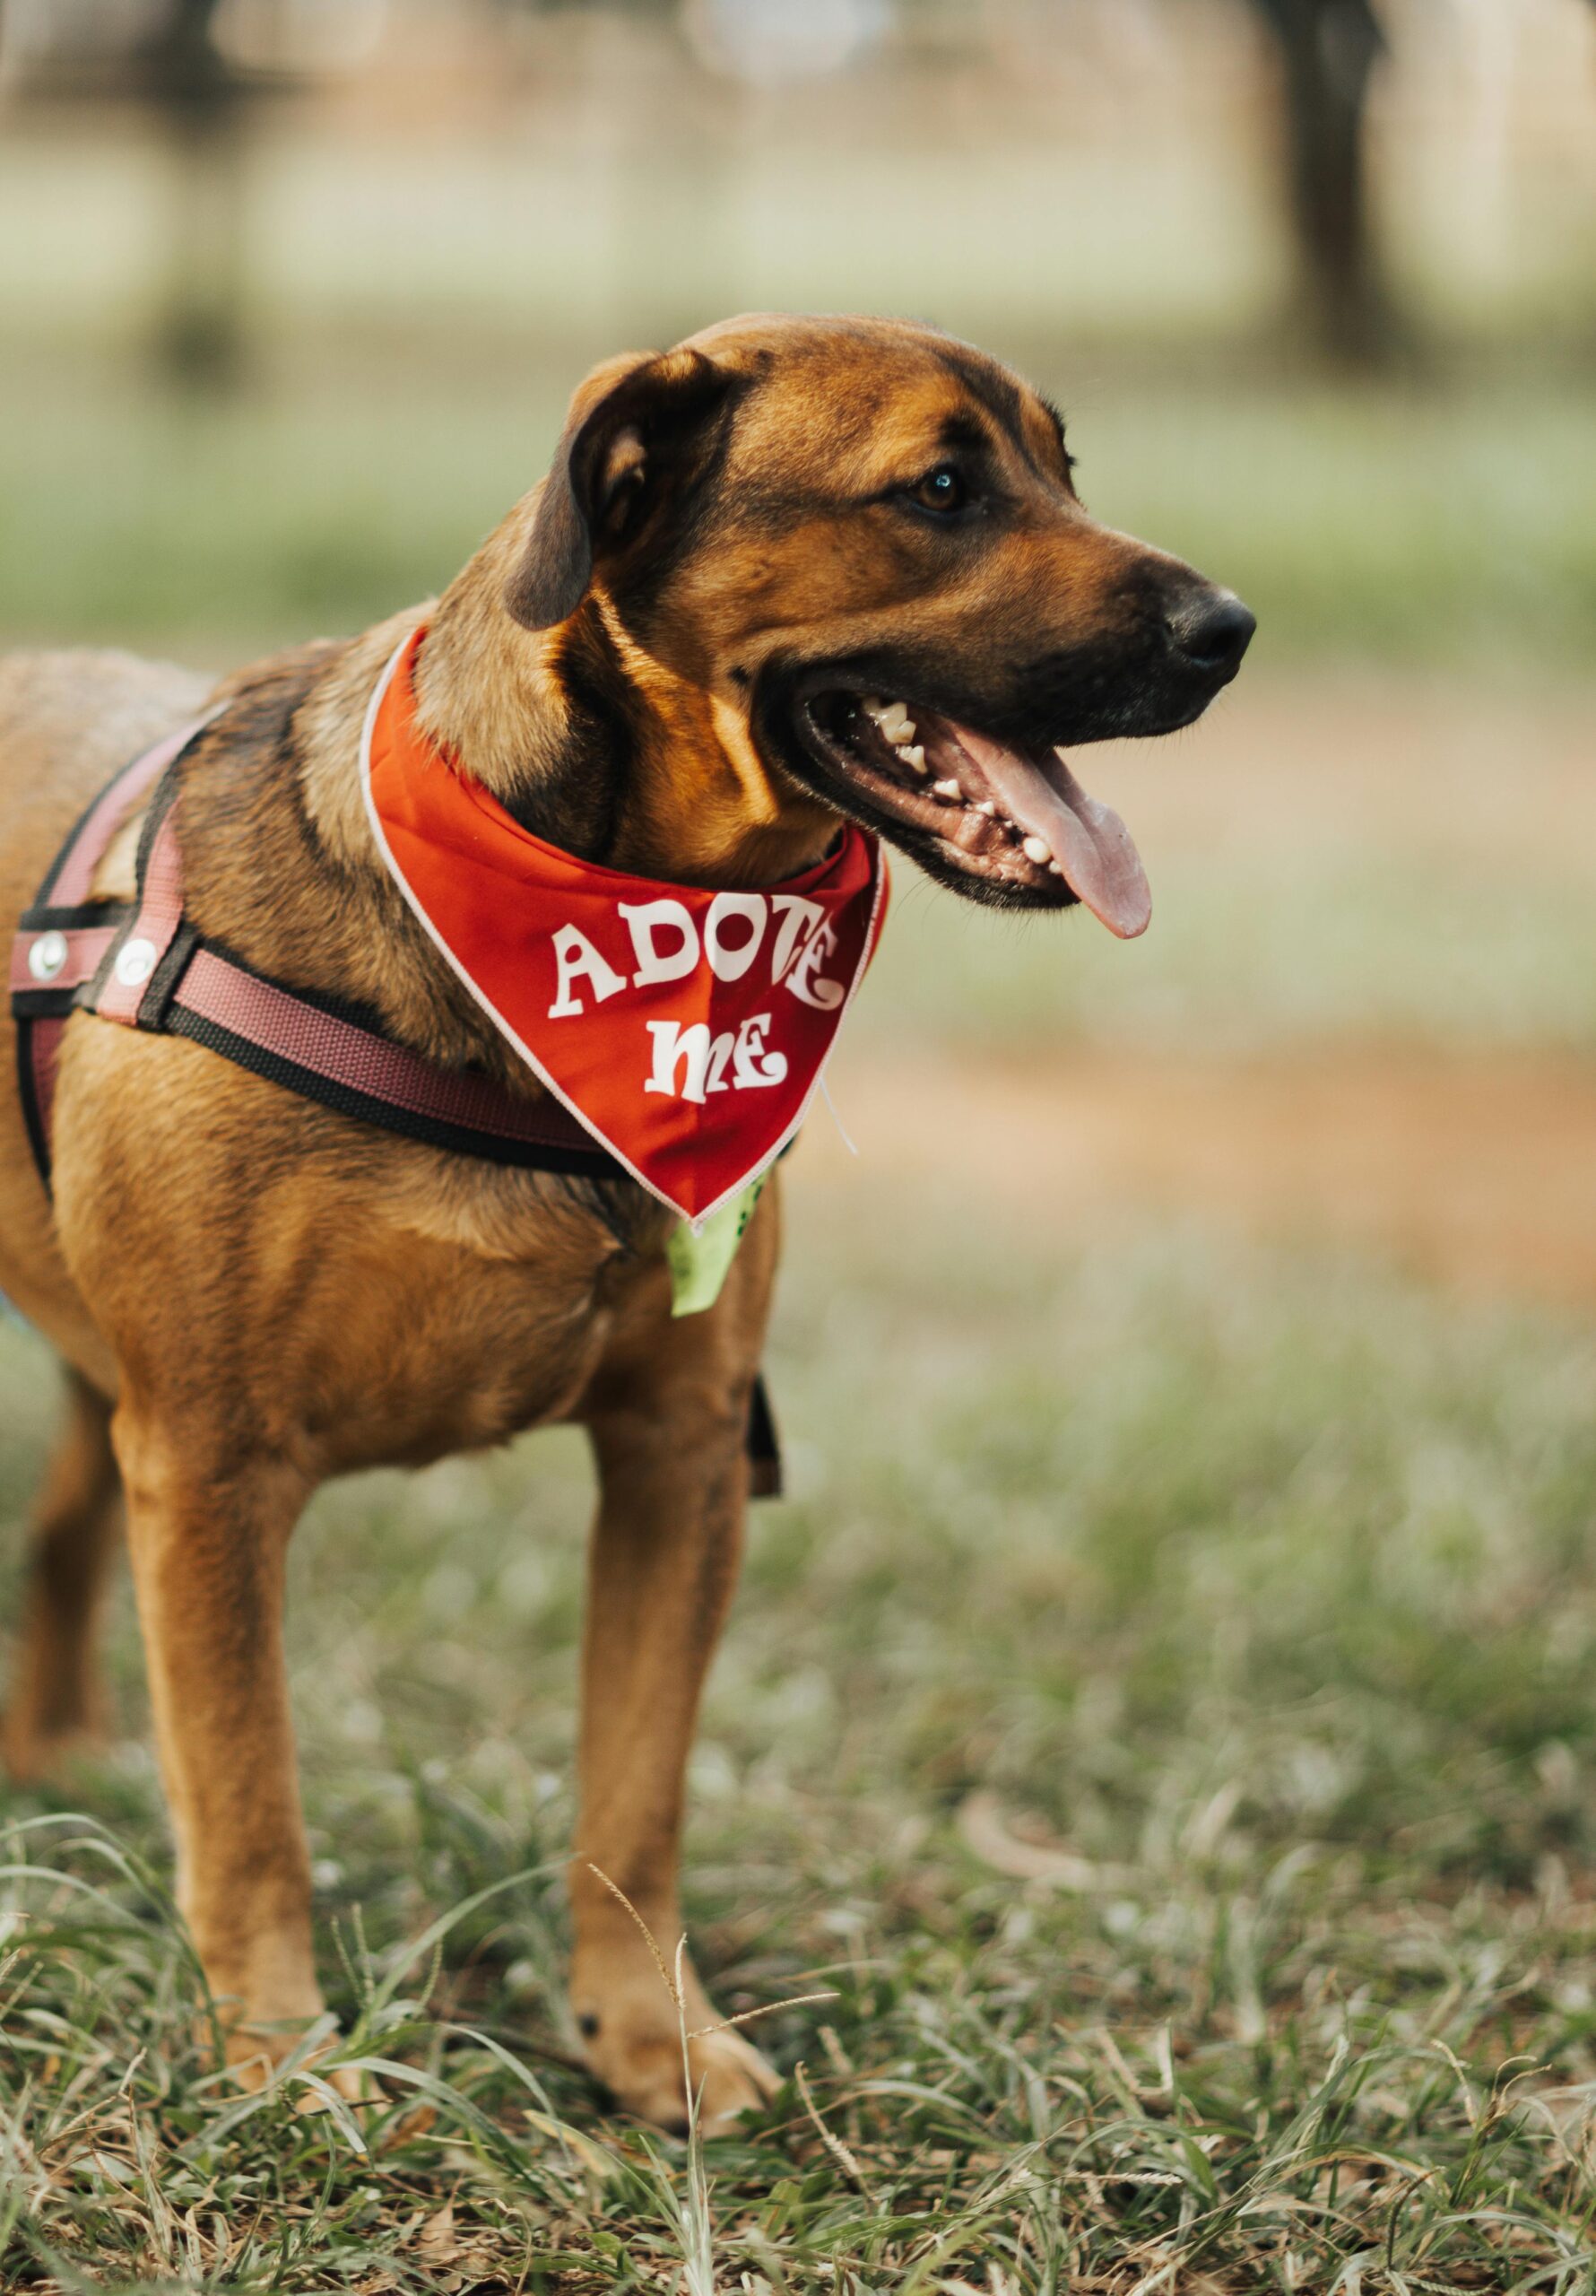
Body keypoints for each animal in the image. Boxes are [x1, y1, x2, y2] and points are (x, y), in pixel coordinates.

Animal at [0, 314, 1249, 2121]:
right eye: (942, 488)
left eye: (1061, 467)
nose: (1232, 627)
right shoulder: (215, 1467)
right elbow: (248, 1802)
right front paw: (277, 2054)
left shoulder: (682, 1448)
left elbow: (634, 1797)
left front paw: (644, 2033)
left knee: (56, 1536)